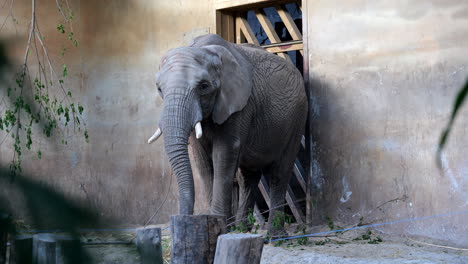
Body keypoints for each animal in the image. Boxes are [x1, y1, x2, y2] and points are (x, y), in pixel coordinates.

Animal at [147, 34, 308, 234]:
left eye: (204, 86)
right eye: (159, 89)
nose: (180, 218)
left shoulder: (239, 104)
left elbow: (224, 153)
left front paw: (219, 228)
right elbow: (201, 161)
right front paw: (217, 226)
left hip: (297, 117)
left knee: (279, 173)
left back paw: (274, 235)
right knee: (248, 177)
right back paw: (242, 230)